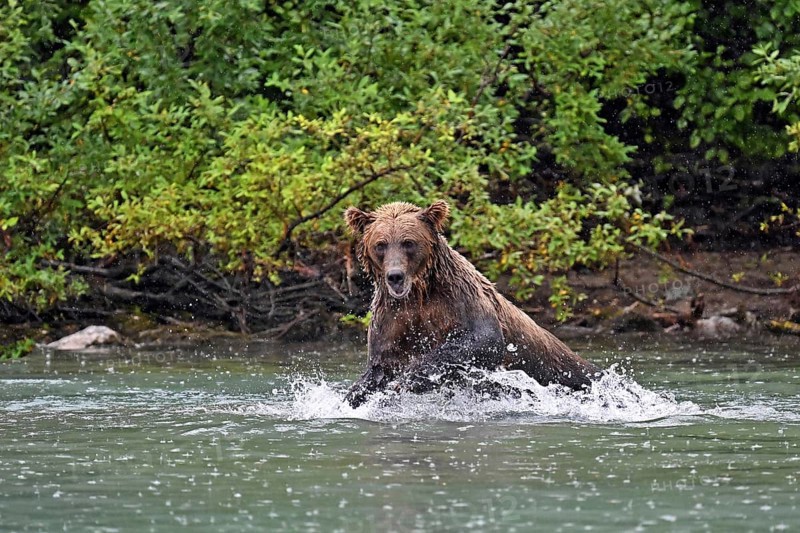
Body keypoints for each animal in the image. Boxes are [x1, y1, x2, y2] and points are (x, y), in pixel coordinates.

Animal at [344, 200, 601, 407]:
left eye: (408, 242)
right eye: (381, 244)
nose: (395, 276)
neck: (418, 294)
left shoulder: (461, 299)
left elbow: (483, 339)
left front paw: (408, 378)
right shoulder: (392, 316)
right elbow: (379, 366)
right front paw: (357, 394)